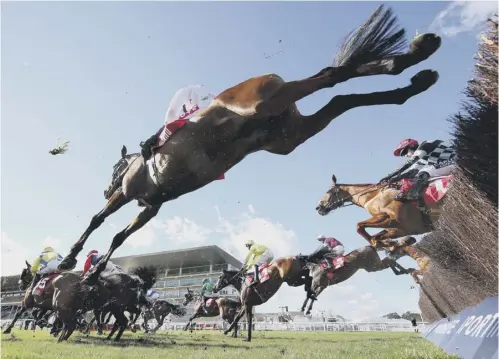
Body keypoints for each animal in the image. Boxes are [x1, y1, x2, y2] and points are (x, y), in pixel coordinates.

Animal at [316, 174, 446, 248]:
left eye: (328, 191)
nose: (318, 208)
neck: (373, 196)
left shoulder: (389, 218)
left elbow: (359, 226)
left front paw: (379, 244)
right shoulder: (399, 229)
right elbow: (376, 236)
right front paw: (390, 244)